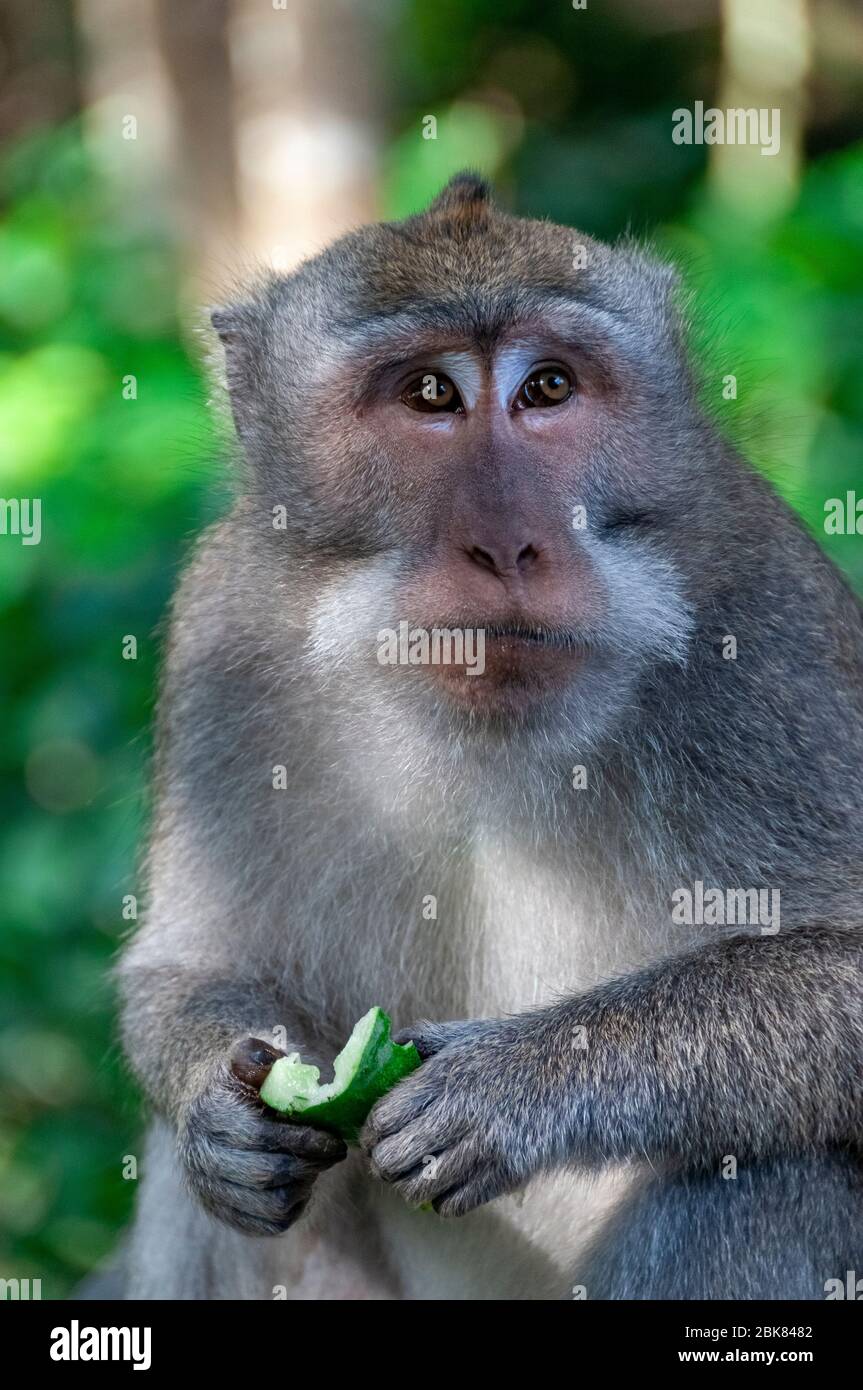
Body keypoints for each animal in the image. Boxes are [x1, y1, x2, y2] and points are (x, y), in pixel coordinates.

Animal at [119, 176, 861, 1301]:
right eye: (429, 394)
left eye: (546, 387)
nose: (509, 543)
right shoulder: (222, 635)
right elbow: (183, 965)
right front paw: (219, 1109)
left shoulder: (770, 627)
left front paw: (515, 1083)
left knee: (776, 1172)